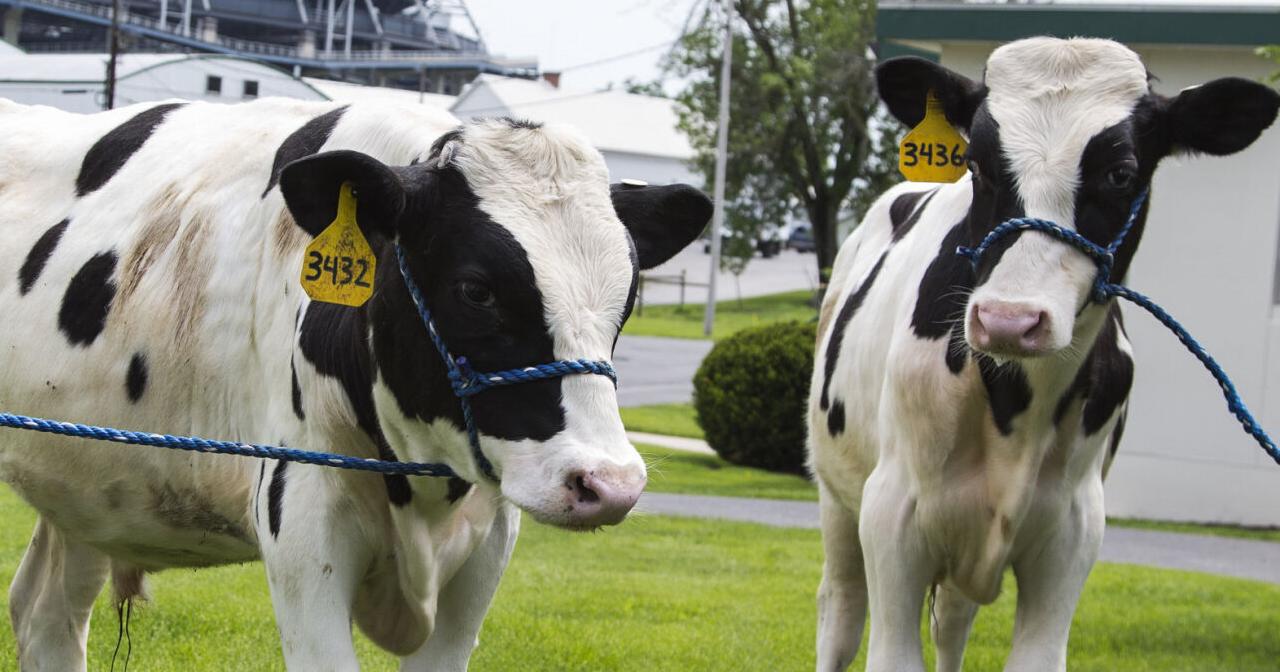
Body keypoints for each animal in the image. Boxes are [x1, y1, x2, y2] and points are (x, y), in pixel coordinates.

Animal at [0, 97, 711, 670]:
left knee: (46, 615)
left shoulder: (487, 542)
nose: (609, 485)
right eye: (475, 289)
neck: (424, 491)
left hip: (87, 488)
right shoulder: (301, 515)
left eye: (628, 294)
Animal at [808, 37, 1279, 672]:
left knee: (951, 624)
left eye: (1121, 172)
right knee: (841, 611)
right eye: (977, 164)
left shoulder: (1071, 533)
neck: (1016, 405)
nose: (1009, 320)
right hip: (838, 500)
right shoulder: (893, 519)